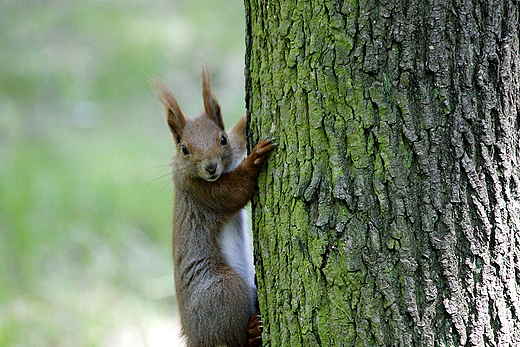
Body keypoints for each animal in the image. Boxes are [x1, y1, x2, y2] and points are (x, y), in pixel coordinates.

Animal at [152, 68, 276, 347]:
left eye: (222, 138)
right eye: (184, 149)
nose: (210, 167)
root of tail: (196, 339)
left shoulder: (234, 147)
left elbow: (239, 134)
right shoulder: (201, 192)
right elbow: (234, 192)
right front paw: (255, 157)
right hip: (224, 288)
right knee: (234, 340)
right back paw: (253, 332)